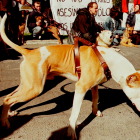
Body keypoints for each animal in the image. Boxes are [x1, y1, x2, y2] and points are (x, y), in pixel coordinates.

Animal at [1, 13, 140, 140]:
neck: (106, 59)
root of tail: (29, 52)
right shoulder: (80, 88)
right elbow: (75, 112)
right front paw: (72, 130)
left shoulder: (94, 86)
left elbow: (95, 99)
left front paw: (95, 112)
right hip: (34, 88)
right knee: (8, 99)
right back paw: (5, 122)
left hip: (26, 85)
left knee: (9, 96)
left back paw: (9, 113)